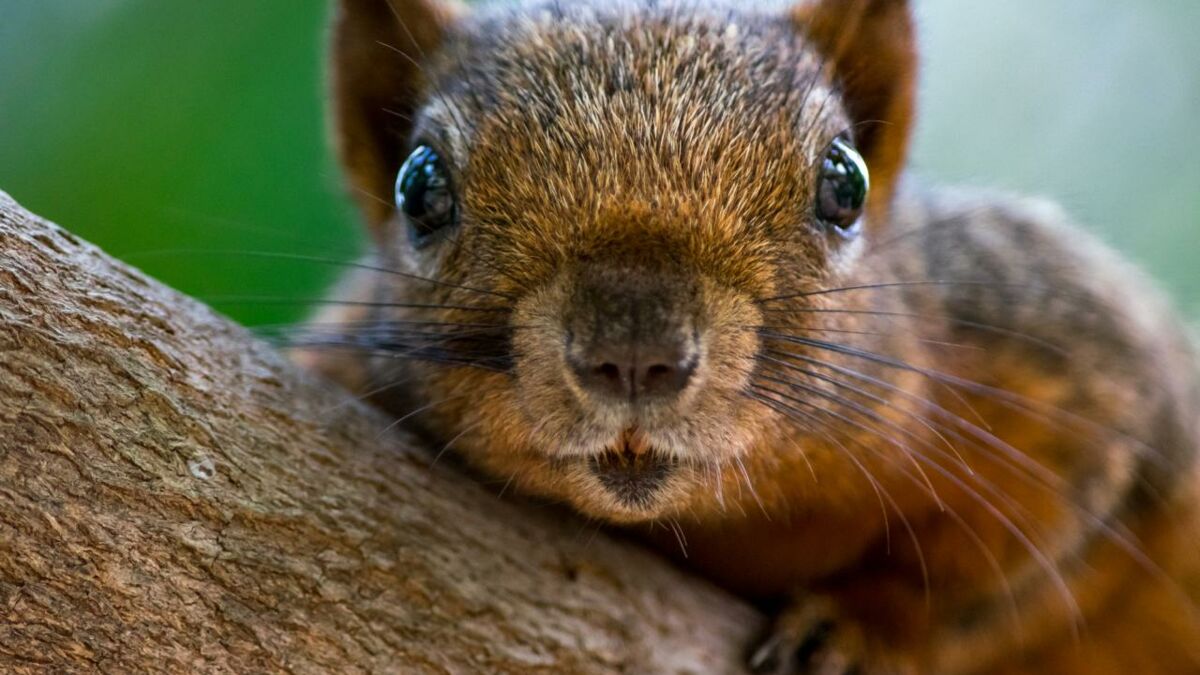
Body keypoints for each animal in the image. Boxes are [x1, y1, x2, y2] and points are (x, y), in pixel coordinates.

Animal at [292, 2, 1200, 667]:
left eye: (845, 181)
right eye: (419, 186)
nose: (635, 353)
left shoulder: (1073, 366)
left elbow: (1011, 572)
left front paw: (858, 626)